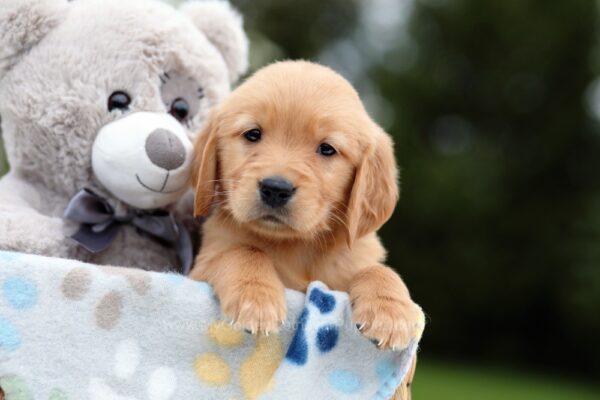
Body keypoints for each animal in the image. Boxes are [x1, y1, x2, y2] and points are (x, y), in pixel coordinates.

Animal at [190, 61, 424, 352]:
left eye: (327, 149)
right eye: (253, 134)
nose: (276, 189)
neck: (295, 246)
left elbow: (377, 269)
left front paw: (390, 312)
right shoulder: (201, 266)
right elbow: (243, 251)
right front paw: (255, 297)